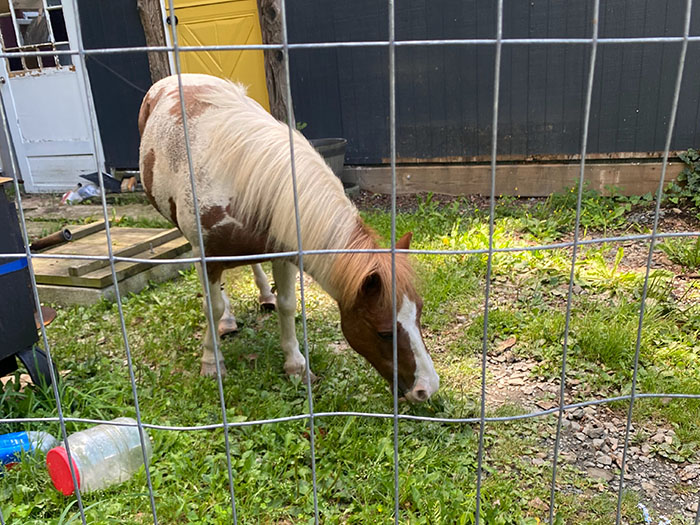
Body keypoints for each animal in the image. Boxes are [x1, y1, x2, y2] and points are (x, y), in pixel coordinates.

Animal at [138, 74, 439, 403]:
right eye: (384, 332)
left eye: (419, 313)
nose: (427, 388)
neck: (242, 180)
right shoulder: (207, 256)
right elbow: (211, 307)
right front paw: (211, 362)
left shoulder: (282, 250)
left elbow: (287, 304)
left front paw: (296, 365)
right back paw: (226, 320)